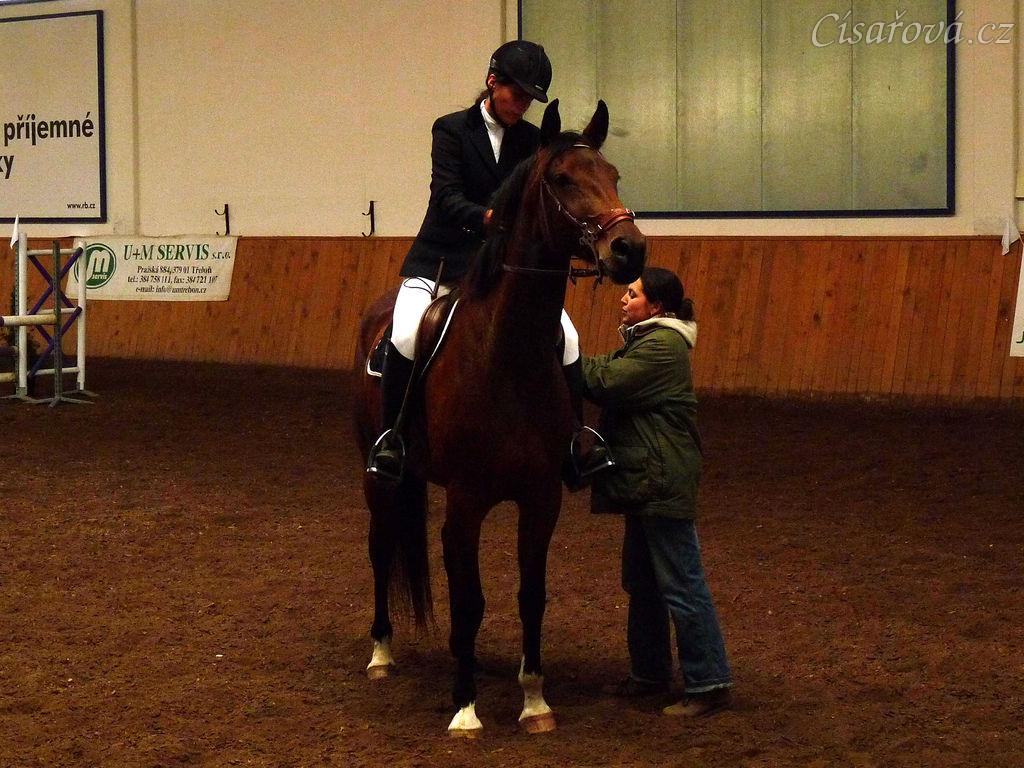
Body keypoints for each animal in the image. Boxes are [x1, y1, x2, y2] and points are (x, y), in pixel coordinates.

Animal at [353, 99, 646, 737]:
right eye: (563, 179)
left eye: (614, 175)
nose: (629, 251)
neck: (505, 357)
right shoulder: (465, 503)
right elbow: (469, 601)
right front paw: (465, 708)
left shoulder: (540, 499)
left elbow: (530, 596)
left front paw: (534, 700)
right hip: (377, 478)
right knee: (381, 546)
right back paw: (382, 653)